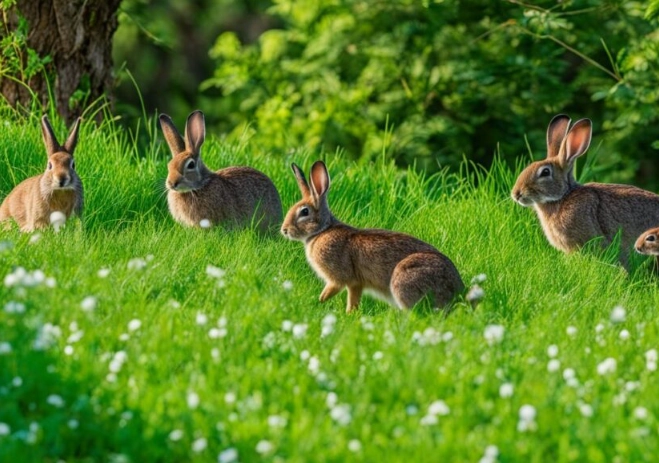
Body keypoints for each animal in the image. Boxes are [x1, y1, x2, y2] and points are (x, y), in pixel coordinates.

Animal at [280, 160, 464, 313]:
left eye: (304, 212)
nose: (284, 230)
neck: (322, 231)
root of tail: (458, 290)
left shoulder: (342, 279)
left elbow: (338, 291)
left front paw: (323, 302)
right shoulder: (357, 284)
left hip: (404, 279)